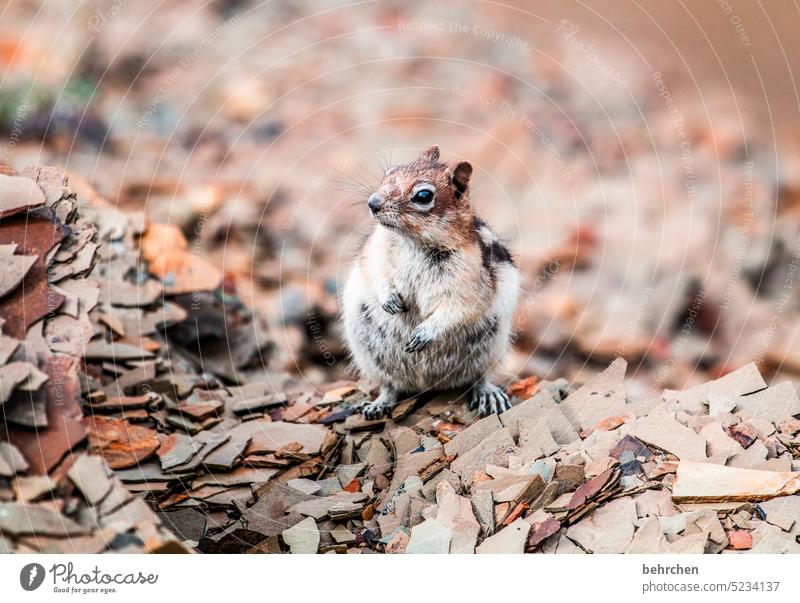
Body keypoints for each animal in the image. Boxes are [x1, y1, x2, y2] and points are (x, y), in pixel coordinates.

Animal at [342, 146, 520, 420]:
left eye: (423, 195)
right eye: (390, 173)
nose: (373, 202)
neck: (415, 241)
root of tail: (427, 384)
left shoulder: (468, 283)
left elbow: (457, 308)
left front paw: (424, 333)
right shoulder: (374, 250)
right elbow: (376, 273)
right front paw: (389, 300)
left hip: (491, 348)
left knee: (479, 377)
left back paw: (489, 394)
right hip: (369, 354)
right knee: (390, 385)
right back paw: (378, 404)